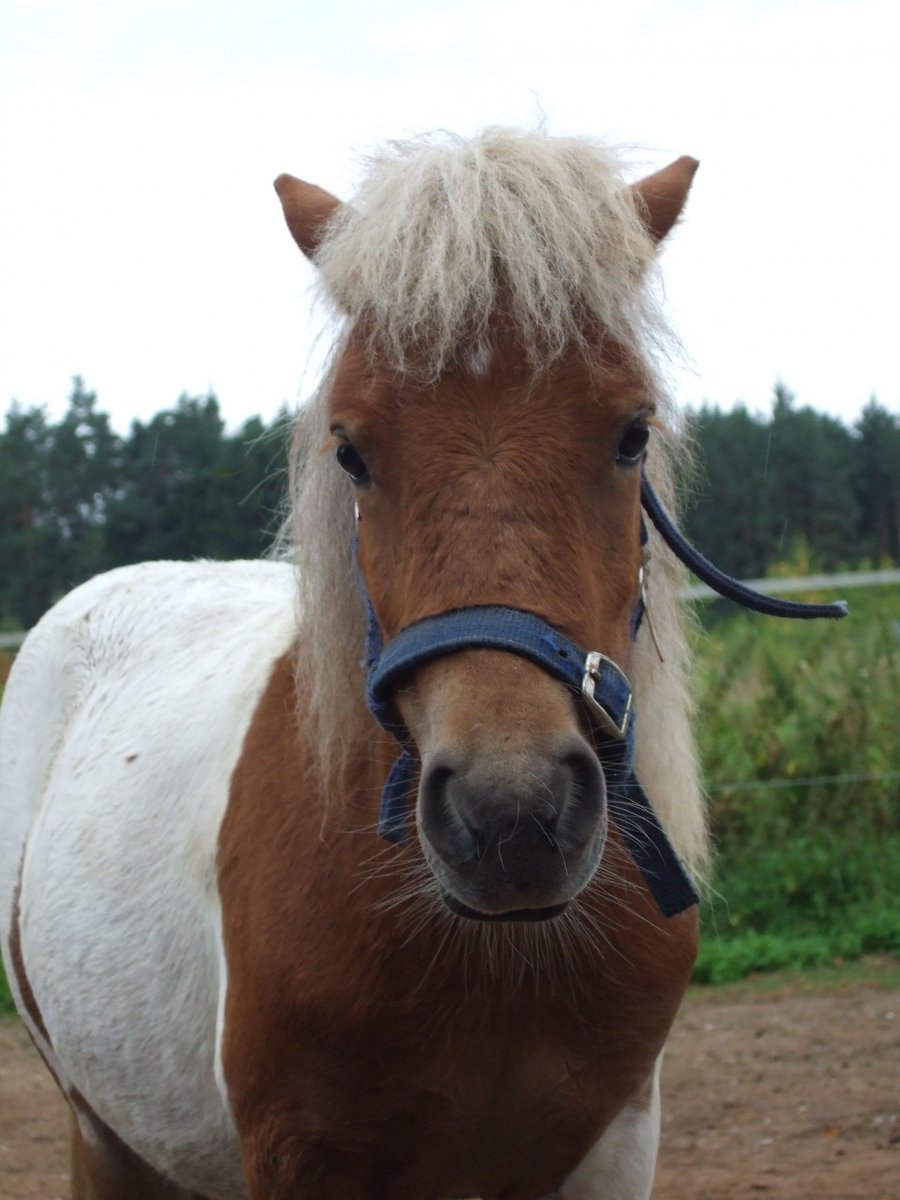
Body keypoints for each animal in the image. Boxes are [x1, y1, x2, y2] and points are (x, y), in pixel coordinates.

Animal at [1, 128, 711, 1200]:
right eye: (350, 451)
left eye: (632, 434)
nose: (512, 815)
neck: (491, 964)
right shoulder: (300, 1157)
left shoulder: (615, 1145)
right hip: (102, 1132)